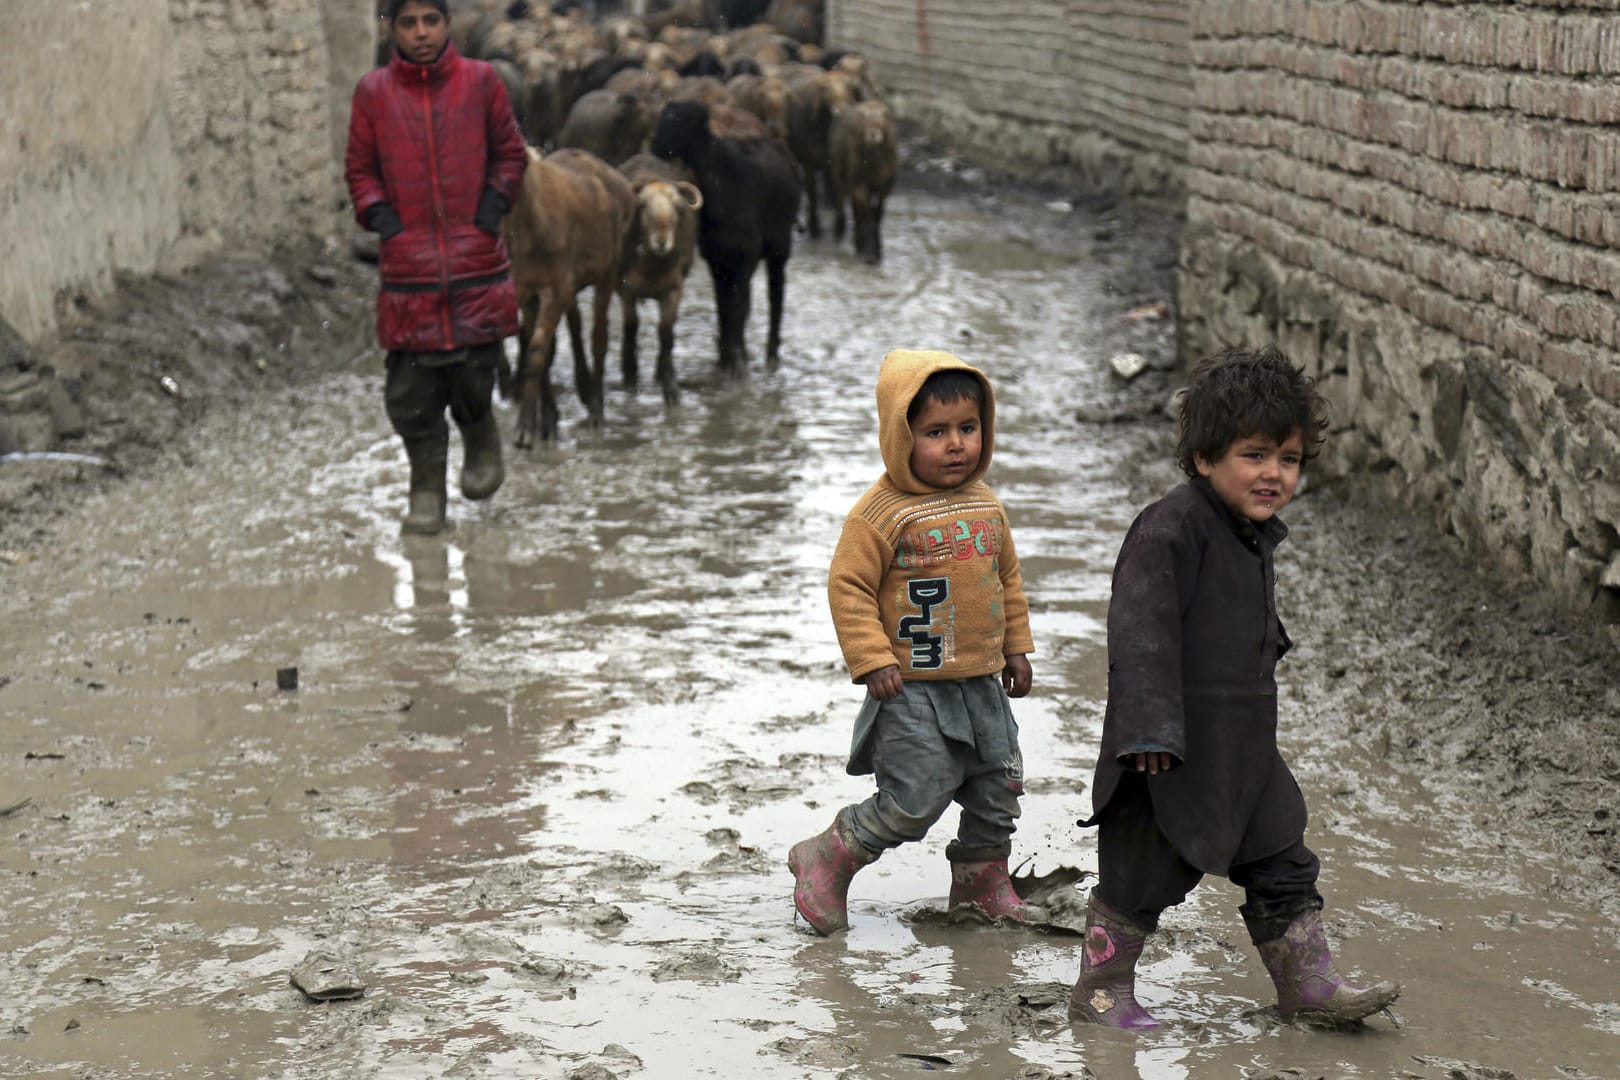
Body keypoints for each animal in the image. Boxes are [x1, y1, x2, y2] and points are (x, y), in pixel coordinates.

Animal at [502, 146, 635, 443]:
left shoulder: (555, 288)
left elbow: (538, 349)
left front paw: (526, 428)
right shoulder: (526, 291)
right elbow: (537, 347)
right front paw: (547, 419)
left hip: (608, 270)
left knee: (599, 335)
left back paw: (596, 408)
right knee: (576, 324)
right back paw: (584, 389)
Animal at [612, 153, 703, 403]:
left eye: (677, 206)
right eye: (642, 205)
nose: (662, 241)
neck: (652, 266)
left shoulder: (673, 289)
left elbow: (666, 332)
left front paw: (670, 384)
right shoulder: (626, 289)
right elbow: (631, 327)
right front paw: (630, 376)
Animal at [644, 99, 797, 375]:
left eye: (682, 120)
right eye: (663, 116)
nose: (655, 144)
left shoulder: (743, 259)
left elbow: (737, 307)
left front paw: (735, 364)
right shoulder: (717, 260)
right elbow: (724, 307)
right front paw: (726, 360)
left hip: (780, 247)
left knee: (775, 295)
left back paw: (771, 355)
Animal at [835, 98, 900, 263]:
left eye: (881, 120)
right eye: (865, 121)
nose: (872, 134)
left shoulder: (884, 187)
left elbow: (877, 214)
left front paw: (877, 250)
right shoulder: (858, 184)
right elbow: (867, 215)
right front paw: (870, 253)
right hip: (842, 176)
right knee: (854, 209)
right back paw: (857, 242)